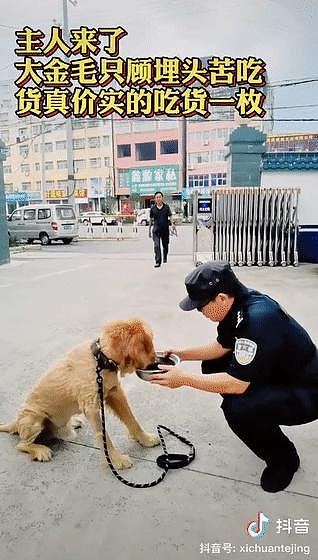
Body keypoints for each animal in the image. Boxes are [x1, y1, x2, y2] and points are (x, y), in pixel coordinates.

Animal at [0, 320, 159, 468]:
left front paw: (145, 439)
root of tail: (16, 422)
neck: (100, 359)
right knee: (21, 444)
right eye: (146, 345)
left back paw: (72, 423)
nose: (156, 361)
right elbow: (104, 437)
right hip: (33, 419)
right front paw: (116, 461)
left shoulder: (115, 393)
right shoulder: (91, 408)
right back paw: (40, 450)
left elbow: (132, 420)